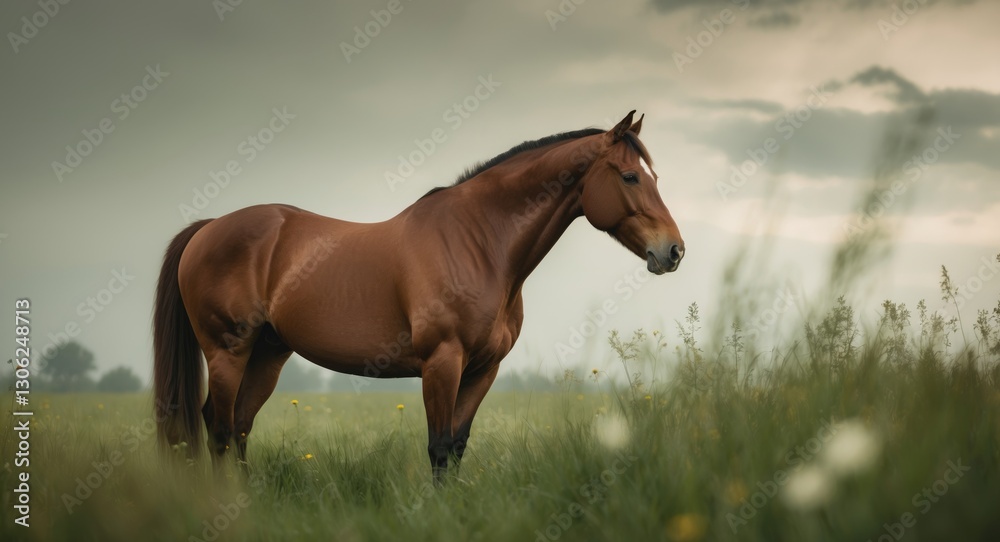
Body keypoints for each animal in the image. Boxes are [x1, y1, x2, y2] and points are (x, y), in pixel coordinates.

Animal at [153, 110, 684, 481]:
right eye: (629, 176)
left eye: (655, 177)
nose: (674, 251)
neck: (479, 242)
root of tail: (209, 228)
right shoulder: (442, 361)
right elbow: (438, 446)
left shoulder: (483, 369)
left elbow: (458, 445)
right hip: (228, 351)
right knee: (219, 429)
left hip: (268, 353)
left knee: (239, 426)